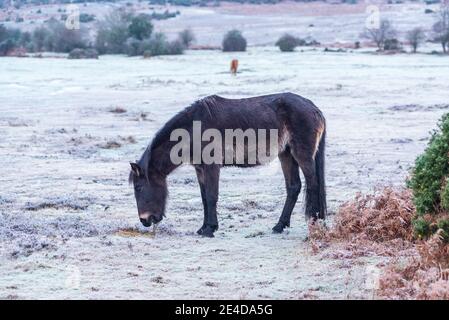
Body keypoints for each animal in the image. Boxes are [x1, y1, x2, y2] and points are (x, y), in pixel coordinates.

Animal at [130, 92, 326, 238]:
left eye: (138, 187)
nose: (145, 220)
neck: (193, 129)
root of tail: (315, 109)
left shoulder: (211, 166)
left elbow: (211, 196)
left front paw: (210, 229)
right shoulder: (200, 169)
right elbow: (204, 198)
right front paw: (203, 228)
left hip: (301, 155)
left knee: (312, 184)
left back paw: (314, 221)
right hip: (286, 154)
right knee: (294, 187)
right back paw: (279, 226)